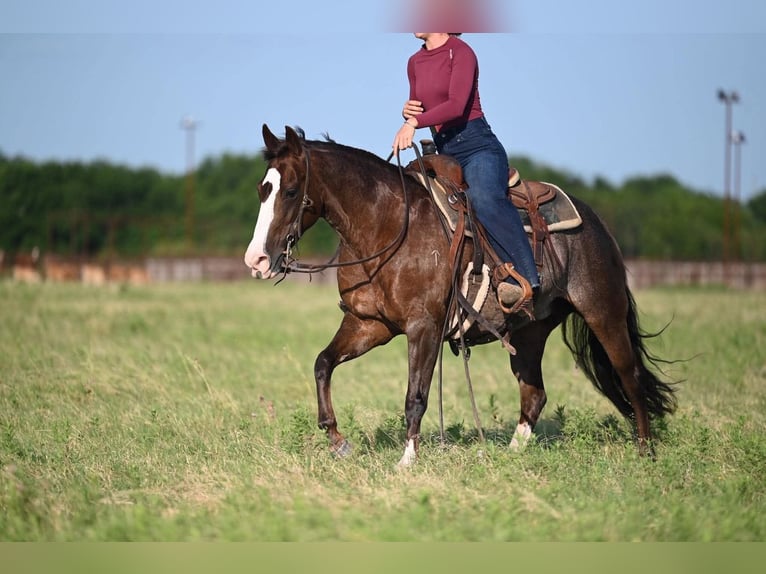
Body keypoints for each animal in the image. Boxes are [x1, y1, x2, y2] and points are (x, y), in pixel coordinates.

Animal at [245, 124, 676, 466]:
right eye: (263, 189)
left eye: (291, 190)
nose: (257, 259)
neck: (388, 225)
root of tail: (596, 223)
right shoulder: (369, 324)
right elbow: (323, 364)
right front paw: (338, 441)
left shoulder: (424, 327)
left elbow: (415, 396)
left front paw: (407, 461)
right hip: (529, 333)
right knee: (534, 394)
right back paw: (509, 456)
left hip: (604, 313)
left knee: (630, 377)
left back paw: (645, 452)